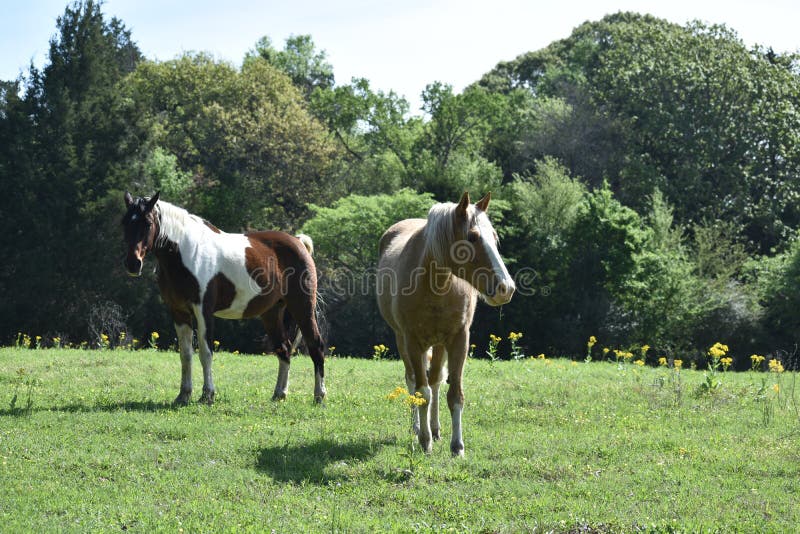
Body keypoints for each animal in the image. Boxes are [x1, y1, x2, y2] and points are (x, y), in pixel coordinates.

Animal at [119, 193, 324, 406]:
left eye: (148, 223)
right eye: (125, 223)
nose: (133, 264)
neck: (187, 253)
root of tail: (299, 242)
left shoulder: (203, 311)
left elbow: (205, 352)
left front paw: (207, 395)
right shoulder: (178, 312)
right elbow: (185, 354)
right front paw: (183, 395)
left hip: (303, 308)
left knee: (316, 346)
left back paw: (319, 395)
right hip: (271, 313)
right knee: (283, 349)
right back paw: (279, 394)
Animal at [378, 193, 516, 456]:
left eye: (495, 238)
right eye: (472, 237)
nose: (506, 288)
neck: (435, 284)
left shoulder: (459, 339)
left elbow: (454, 395)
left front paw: (457, 446)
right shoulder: (412, 341)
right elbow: (421, 391)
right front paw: (424, 441)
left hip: (439, 344)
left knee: (435, 381)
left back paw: (435, 428)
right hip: (404, 341)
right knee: (413, 381)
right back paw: (418, 428)